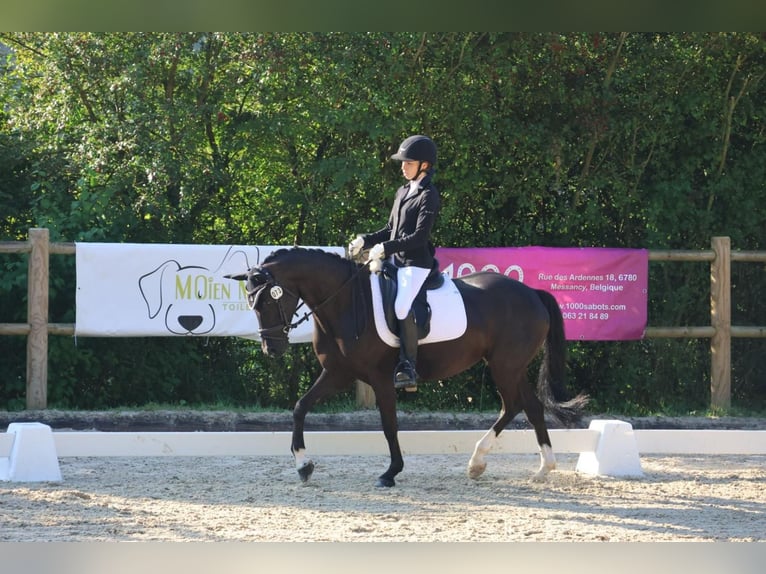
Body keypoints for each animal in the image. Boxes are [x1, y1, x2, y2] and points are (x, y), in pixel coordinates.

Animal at [228, 250, 588, 488]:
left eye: (269, 299)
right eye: (251, 302)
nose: (271, 349)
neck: (346, 301)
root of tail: (533, 294)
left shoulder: (381, 379)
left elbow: (389, 426)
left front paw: (390, 473)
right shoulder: (338, 374)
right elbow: (300, 407)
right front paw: (304, 466)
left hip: (505, 365)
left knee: (514, 405)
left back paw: (483, 462)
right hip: (509, 366)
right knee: (529, 406)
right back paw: (537, 468)